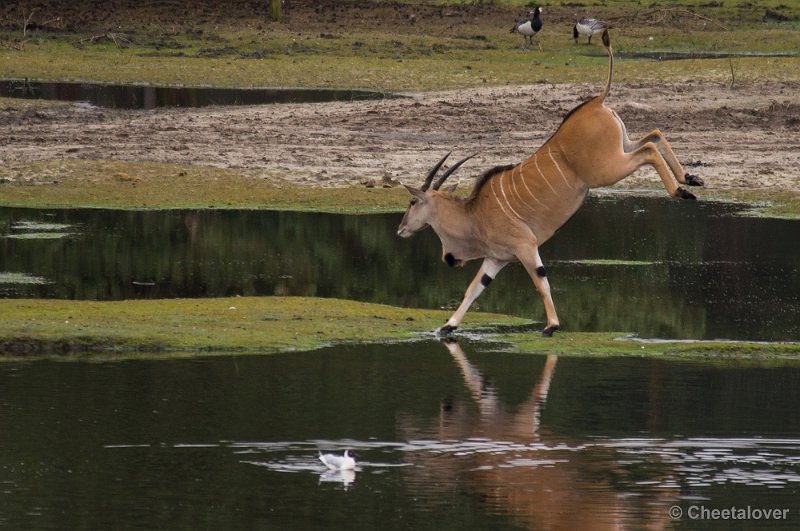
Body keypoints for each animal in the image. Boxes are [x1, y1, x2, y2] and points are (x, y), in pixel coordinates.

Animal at [396, 30, 704, 336]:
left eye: (412, 201)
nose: (400, 229)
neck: (474, 215)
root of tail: (597, 101)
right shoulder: (496, 259)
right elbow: (474, 289)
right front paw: (447, 327)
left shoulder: (526, 247)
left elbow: (540, 282)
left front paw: (551, 326)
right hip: (622, 148)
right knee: (655, 134)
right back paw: (690, 178)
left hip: (607, 169)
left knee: (648, 151)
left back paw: (681, 190)